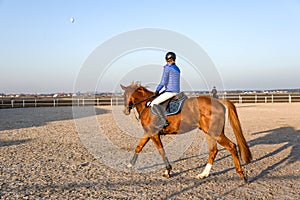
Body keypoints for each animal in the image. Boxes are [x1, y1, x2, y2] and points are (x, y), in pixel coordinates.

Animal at [120, 81, 252, 183]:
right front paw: (129, 166)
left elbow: (161, 151)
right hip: (210, 132)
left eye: (126, 95)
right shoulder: (148, 133)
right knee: (213, 150)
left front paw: (168, 170)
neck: (147, 105)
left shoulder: (154, 134)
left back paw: (242, 175)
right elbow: (139, 147)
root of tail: (218, 102)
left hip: (215, 133)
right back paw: (203, 174)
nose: (125, 111)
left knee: (231, 146)